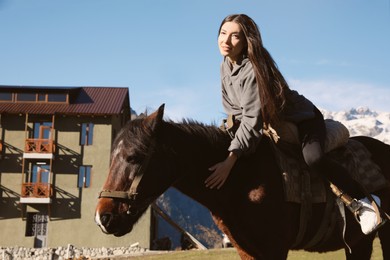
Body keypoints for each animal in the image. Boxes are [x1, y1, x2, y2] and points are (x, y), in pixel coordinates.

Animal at [94, 104, 390, 258]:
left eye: (134, 157)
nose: (102, 218)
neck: (240, 181)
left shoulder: (274, 249)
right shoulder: (246, 250)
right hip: (359, 243)